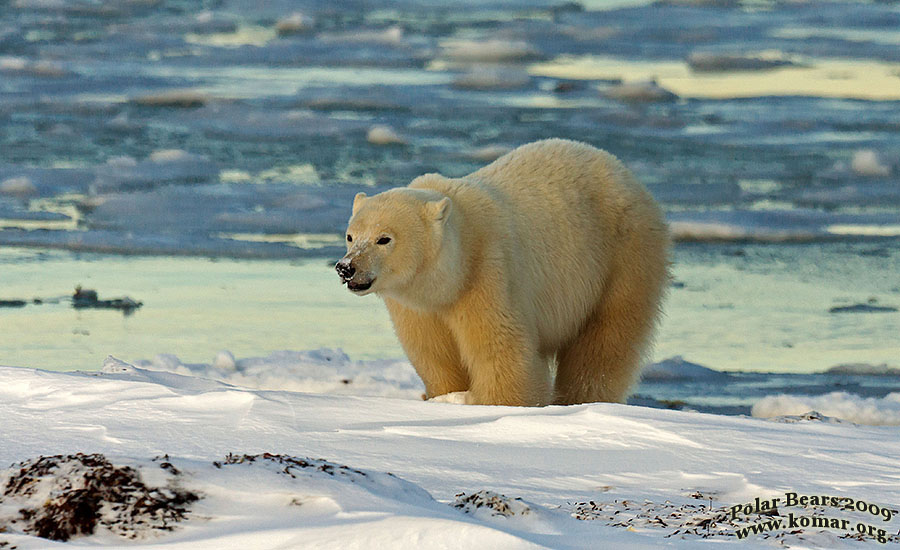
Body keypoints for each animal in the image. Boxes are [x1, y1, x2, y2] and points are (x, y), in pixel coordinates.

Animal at [338, 138, 668, 406]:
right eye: (351, 236)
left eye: (384, 239)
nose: (346, 268)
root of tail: (624, 173)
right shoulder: (416, 306)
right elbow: (435, 354)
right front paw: (446, 395)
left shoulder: (488, 272)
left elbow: (501, 350)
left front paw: (496, 404)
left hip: (622, 257)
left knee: (605, 341)